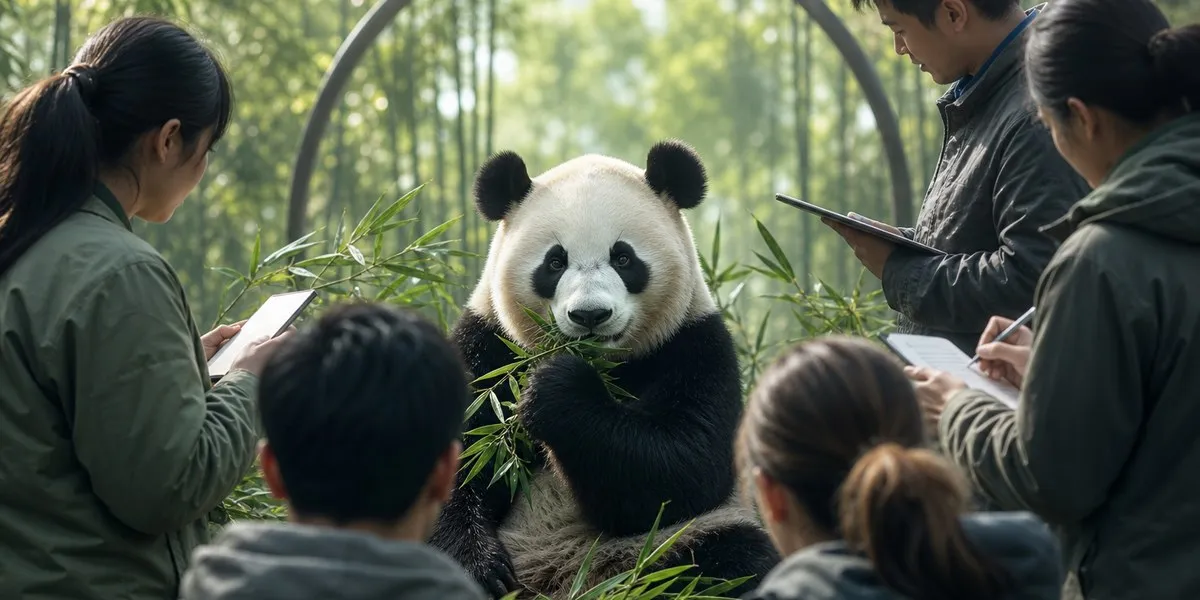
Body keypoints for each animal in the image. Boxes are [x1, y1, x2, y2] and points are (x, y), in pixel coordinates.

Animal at [429, 140, 781, 599]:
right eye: (555, 262)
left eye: (624, 258)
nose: (590, 315)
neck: (608, 365)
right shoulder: (489, 347)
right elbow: (455, 457)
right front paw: (478, 569)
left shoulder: (694, 343)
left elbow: (685, 465)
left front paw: (558, 389)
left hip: (666, 547)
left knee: (732, 560)